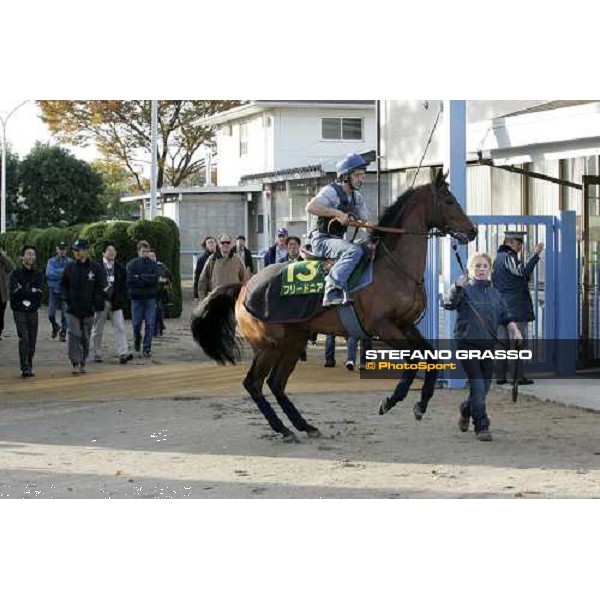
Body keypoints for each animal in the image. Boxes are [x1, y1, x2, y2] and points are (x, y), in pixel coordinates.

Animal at [192, 171, 478, 442]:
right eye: (449, 200)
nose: (472, 231)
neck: (394, 267)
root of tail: (243, 287)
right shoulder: (383, 326)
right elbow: (412, 358)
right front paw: (390, 401)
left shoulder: (405, 325)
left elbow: (430, 355)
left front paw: (421, 403)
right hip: (269, 345)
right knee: (254, 383)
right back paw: (283, 429)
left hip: (293, 341)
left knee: (276, 383)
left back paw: (303, 426)